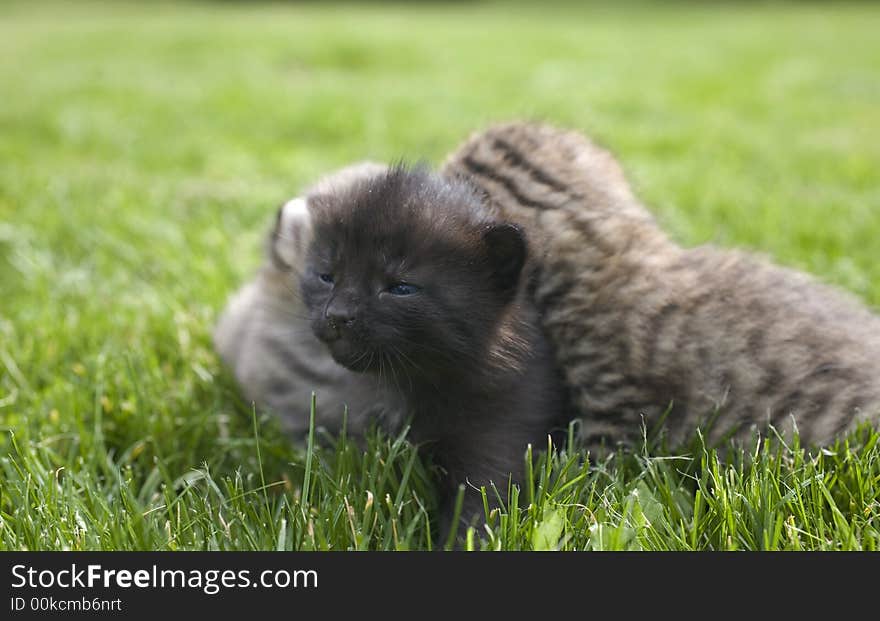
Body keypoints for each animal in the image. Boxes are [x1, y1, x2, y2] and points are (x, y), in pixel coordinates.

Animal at [300, 163, 568, 532]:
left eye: (401, 287)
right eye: (327, 276)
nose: (337, 314)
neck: (415, 383)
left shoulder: (504, 431)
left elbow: (481, 505)